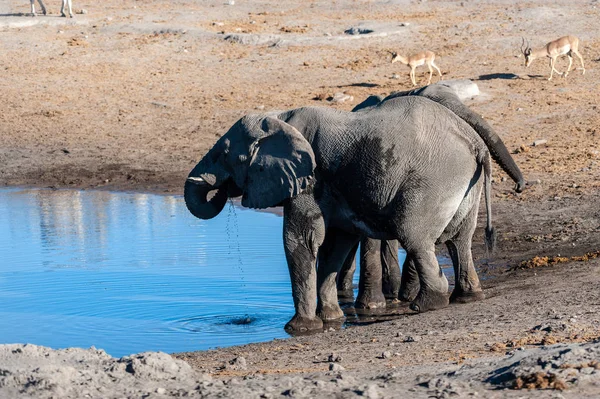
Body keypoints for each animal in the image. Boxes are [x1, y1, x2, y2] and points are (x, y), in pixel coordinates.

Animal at [184, 93, 506, 332]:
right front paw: (332, 319)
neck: (280, 118)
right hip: (465, 184)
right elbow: (334, 247)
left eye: (225, 155)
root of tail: (475, 143)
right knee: (459, 240)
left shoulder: (309, 180)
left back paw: (425, 304)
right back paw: (467, 296)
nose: (221, 189)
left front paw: (299, 328)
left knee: (413, 235)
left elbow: (299, 240)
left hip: (433, 181)